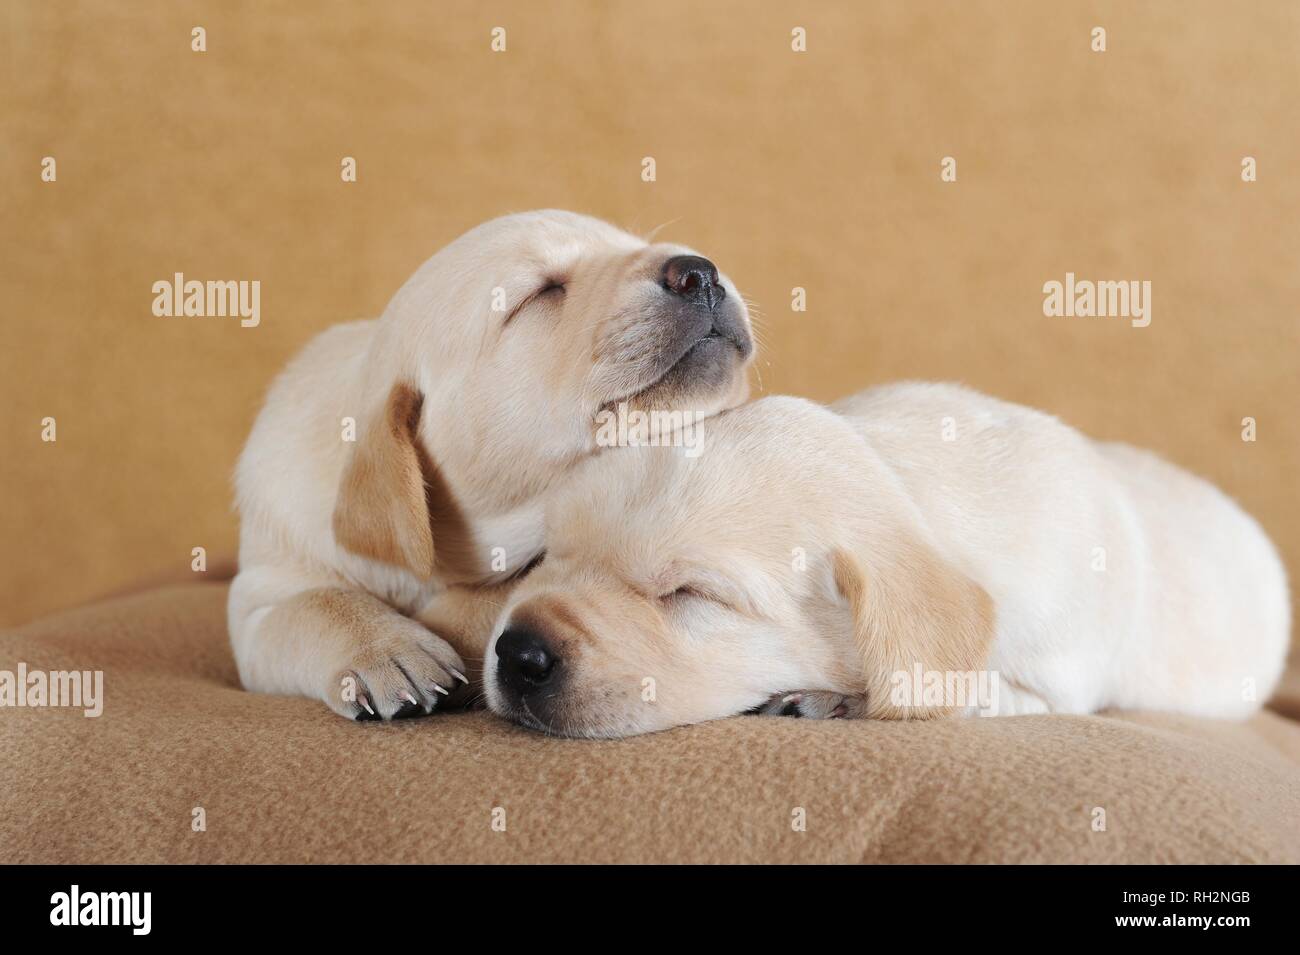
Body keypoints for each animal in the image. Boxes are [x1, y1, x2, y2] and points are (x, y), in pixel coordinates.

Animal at [486, 382, 1289, 738]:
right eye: (544, 559)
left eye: (689, 594)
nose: (517, 653)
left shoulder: (1054, 682)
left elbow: (960, 688)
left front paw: (836, 698)